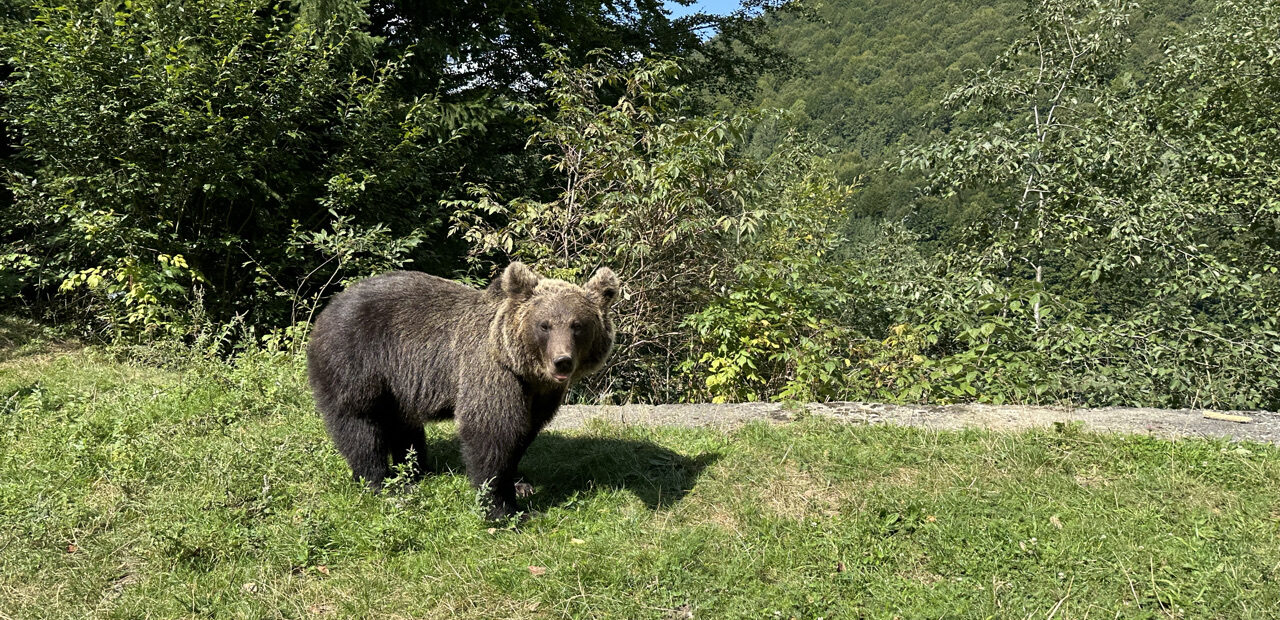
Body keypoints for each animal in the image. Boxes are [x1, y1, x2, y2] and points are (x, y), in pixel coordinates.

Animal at [304, 261, 614, 517]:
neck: (523, 368)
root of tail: (329, 306)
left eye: (578, 325)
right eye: (544, 325)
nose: (562, 361)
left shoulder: (539, 395)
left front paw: (520, 483)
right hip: (356, 359)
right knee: (360, 424)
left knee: (403, 423)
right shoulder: (492, 374)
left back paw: (416, 469)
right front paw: (504, 507)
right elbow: (491, 434)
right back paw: (383, 481)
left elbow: (522, 434)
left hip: (398, 382)